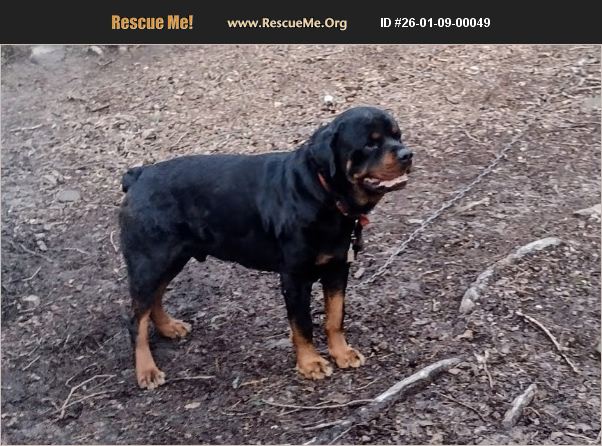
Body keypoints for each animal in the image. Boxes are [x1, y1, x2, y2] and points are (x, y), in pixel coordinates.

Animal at [119, 106, 413, 389]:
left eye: (397, 136)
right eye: (370, 143)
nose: (408, 154)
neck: (324, 195)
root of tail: (139, 175)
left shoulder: (338, 268)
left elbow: (335, 317)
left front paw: (341, 353)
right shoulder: (295, 277)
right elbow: (303, 325)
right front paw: (310, 363)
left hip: (172, 258)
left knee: (155, 298)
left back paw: (168, 327)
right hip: (150, 261)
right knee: (136, 320)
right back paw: (147, 370)